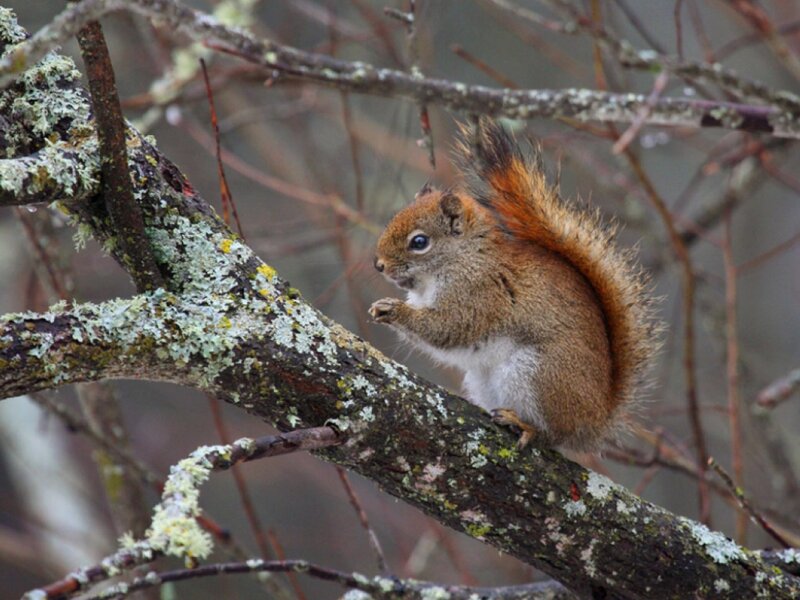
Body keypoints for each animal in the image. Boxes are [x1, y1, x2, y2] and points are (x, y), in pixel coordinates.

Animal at [368, 118, 659, 451]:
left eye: (419, 242)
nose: (379, 265)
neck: (462, 258)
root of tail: (594, 421)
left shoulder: (479, 293)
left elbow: (448, 327)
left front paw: (395, 311)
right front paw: (383, 307)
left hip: (537, 374)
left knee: (552, 434)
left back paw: (525, 425)